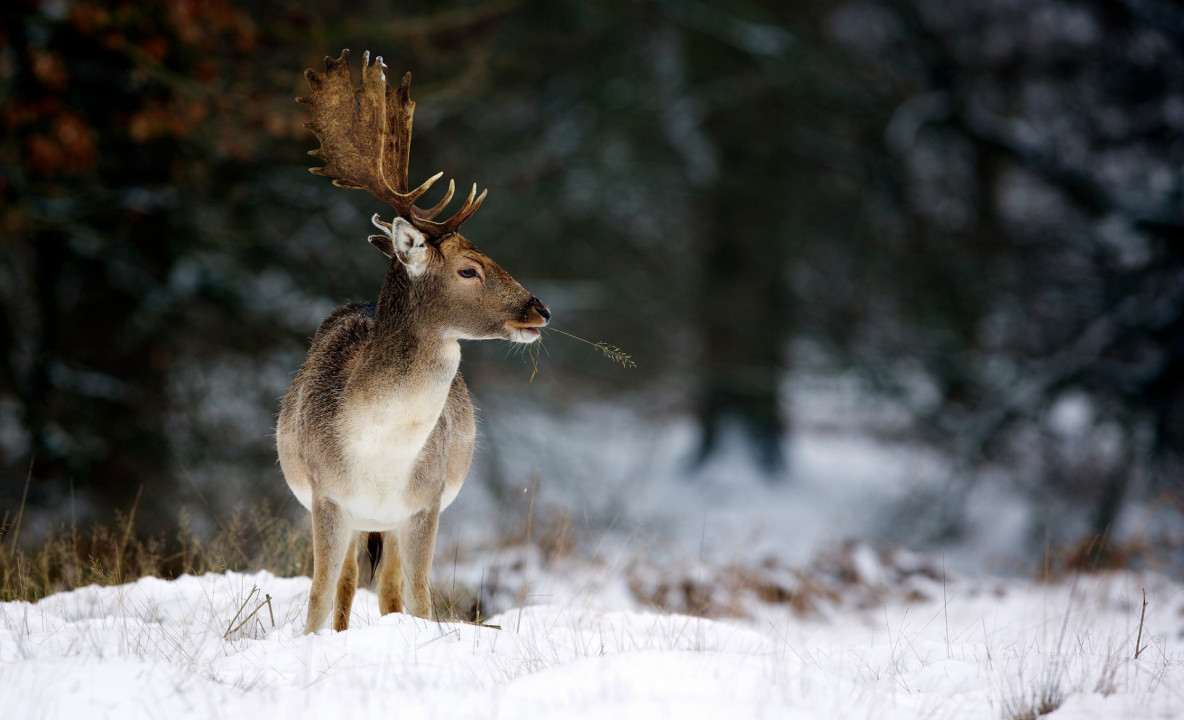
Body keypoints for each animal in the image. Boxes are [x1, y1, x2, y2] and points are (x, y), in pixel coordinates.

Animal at [277, 50, 549, 634]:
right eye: (469, 269)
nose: (539, 309)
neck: (380, 454)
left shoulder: (425, 503)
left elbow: (421, 598)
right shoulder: (326, 496)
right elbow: (317, 596)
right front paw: (311, 640)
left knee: (389, 589)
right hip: (353, 517)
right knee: (347, 585)